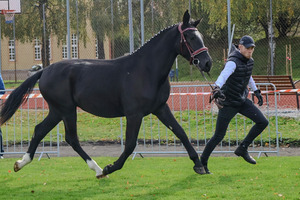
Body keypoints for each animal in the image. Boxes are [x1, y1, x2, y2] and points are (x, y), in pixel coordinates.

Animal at [0, 10, 212, 179]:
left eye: (201, 36)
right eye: (191, 38)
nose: (207, 63)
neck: (146, 70)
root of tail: (44, 70)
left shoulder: (160, 108)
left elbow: (181, 133)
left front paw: (199, 165)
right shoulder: (134, 114)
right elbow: (130, 145)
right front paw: (111, 167)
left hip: (57, 111)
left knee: (40, 130)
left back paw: (21, 163)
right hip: (66, 110)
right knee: (71, 138)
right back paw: (99, 169)